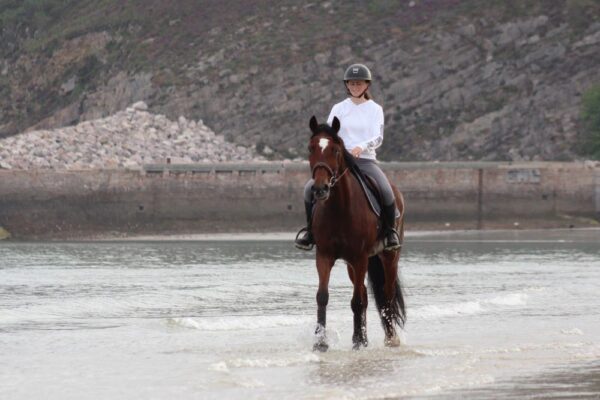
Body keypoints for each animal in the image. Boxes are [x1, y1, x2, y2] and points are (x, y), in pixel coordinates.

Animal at [304, 115, 408, 350]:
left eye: (335, 150)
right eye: (311, 148)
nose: (320, 189)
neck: (339, 209)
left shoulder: (360, 257)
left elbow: (357, 301)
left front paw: (358, 341)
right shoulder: (324, 256)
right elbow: (322, 296)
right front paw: (321, 342)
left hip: (389, 256)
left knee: (387, 295)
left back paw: (390, 338)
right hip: (354, 264)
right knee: (367, 296)